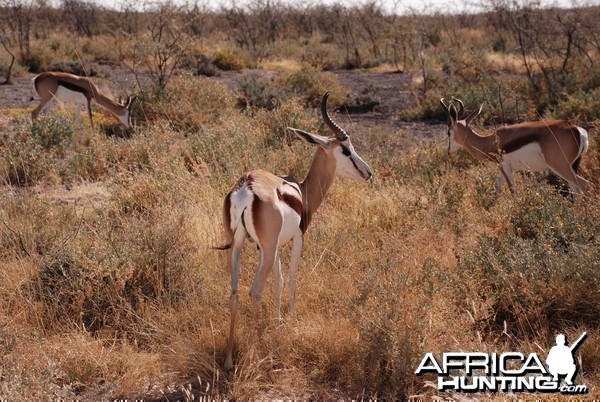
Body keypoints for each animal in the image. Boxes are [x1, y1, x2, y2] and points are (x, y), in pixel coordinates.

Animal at [218, 92, 372, 370]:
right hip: (265, 251)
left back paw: (228, 360)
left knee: (234, 294)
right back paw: (264, 354)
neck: (302, 191)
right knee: (254, 292)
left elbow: (278, 282)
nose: (368, 172)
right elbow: (290, 280)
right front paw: (290, 324)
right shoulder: (296, 239)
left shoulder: (273, 246)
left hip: (236, 247)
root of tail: (246, 187)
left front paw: (278, 325)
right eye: (346, 150)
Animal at [438, 97, 588, 198]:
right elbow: (497, 186)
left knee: (583, 185)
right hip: (569, 168)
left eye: (448, 132)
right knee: (576, 189)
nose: (449, 151)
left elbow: (513, 190)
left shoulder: (505, 168)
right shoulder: (505, 171)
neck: (488, 142)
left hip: (560, 166)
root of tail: (577, 130)